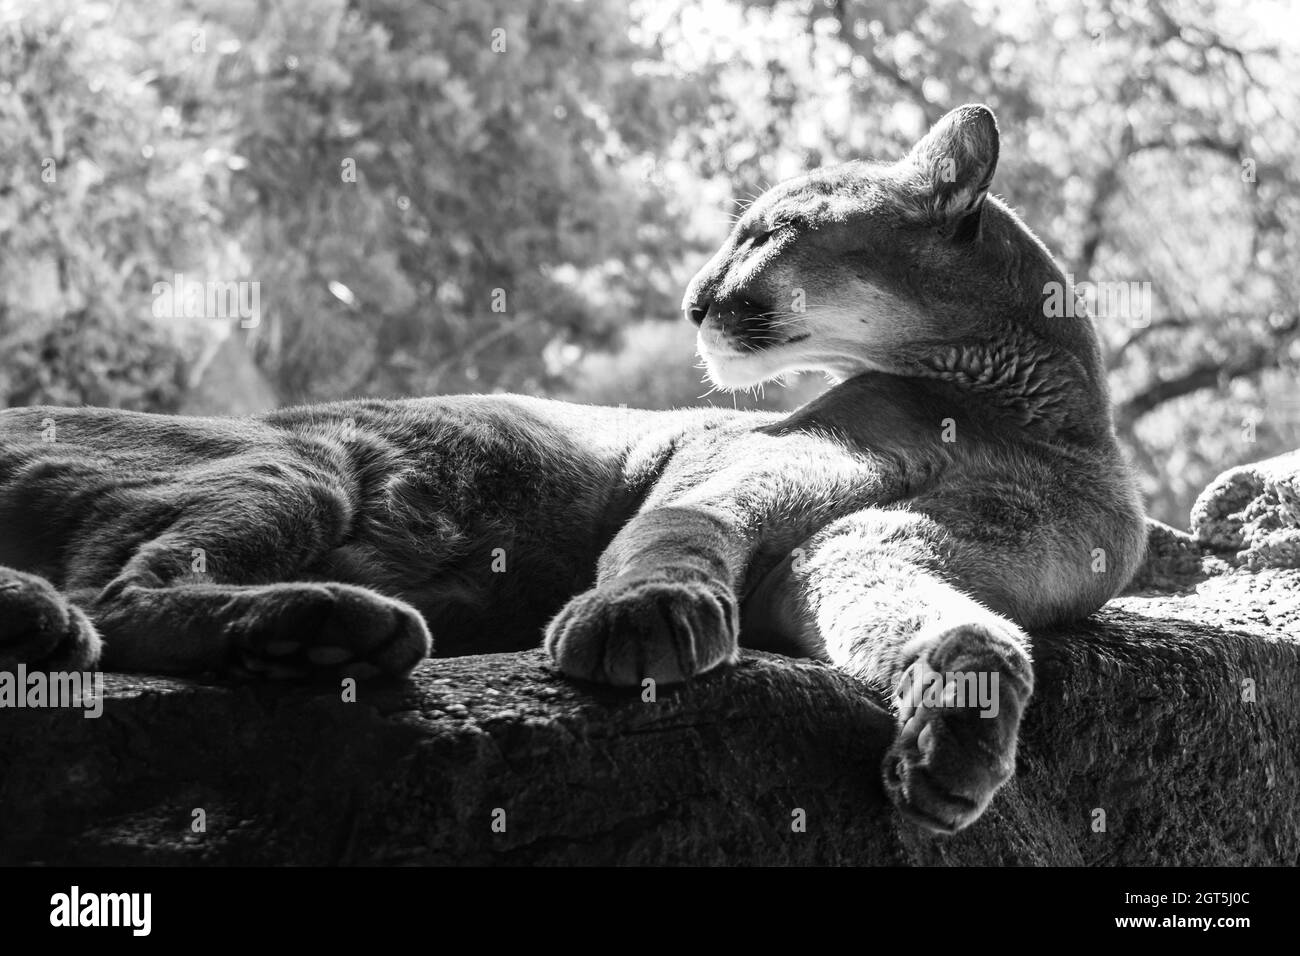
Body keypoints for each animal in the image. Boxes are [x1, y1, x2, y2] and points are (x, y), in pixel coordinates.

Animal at [0, 108, 1138, 832]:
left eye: (771, 232)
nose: (692, 299)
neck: (1015, 406)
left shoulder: (866, 545)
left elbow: (956, 626)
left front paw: (952, 745)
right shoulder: (749, 461)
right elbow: (682, 528)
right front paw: (643, 615)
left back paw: (317, 636)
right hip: (299, 459)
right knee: (115, 594)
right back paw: (322, 625)